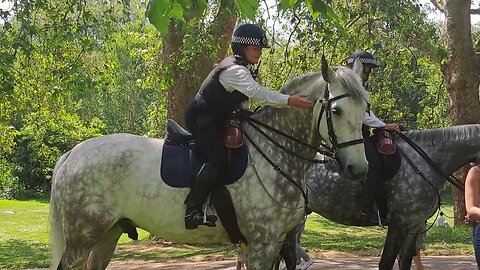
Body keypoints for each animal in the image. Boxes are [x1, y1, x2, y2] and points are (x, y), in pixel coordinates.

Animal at [48, 58, 370, 268]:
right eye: (337, 111)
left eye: (366, 108)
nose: (359, 168)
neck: (274, 154)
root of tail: (72, 154)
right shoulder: (262, 245)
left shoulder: (281, 243)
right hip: (82, 238)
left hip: (107, 234)